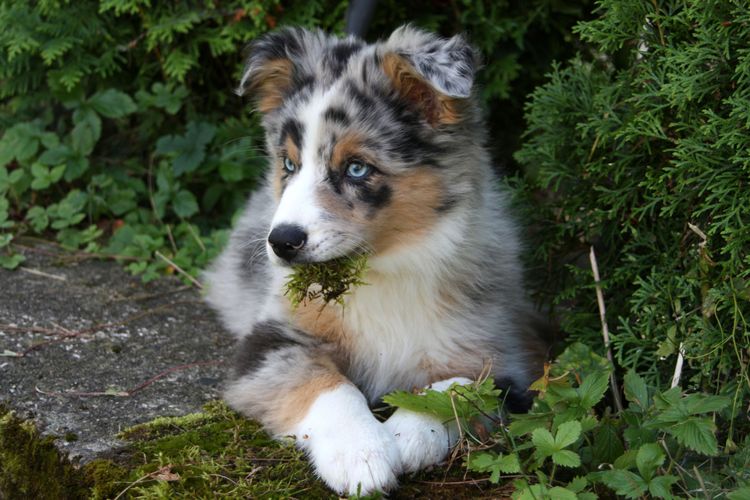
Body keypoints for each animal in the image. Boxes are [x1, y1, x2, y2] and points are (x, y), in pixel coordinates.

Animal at [206, 25, 548, 494]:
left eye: (356, 169)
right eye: (289, 165)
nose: (282, 242)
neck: (384, 270)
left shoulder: (508, 356)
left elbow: (453, 387)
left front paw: (407, 438)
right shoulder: (272, 340)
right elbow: (330, 387)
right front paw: (360, 454)